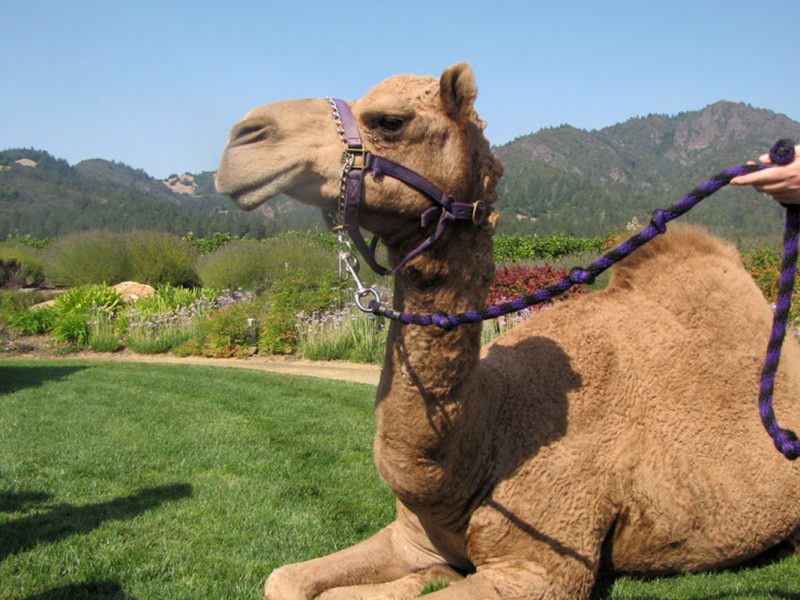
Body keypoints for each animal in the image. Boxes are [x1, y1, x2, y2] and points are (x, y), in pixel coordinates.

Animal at [216, 63, 800, 596]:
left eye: (391, 120)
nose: (242, 136)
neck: (483, 445)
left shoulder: (541, 569)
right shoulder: (411, 539)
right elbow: (285, 579)